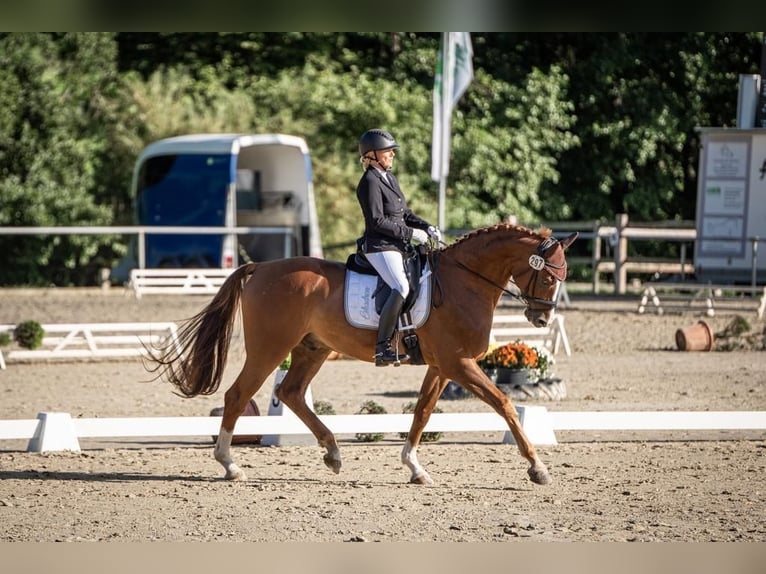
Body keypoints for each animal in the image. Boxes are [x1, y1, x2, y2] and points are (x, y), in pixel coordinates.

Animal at [146, 224, 576, 486]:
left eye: (564, 276)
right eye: (548, 276)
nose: (541, 318)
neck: (462, 282)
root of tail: (261, 268)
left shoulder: (443, 366)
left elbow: (422, 413)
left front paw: (415, 468)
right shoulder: (459, 363)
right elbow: (504, 403)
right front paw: (537, 468)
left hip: (312, 348)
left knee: (291, 394)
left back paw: (333, 454)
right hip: (270, 348)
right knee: (238, 396)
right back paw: (230, 465)